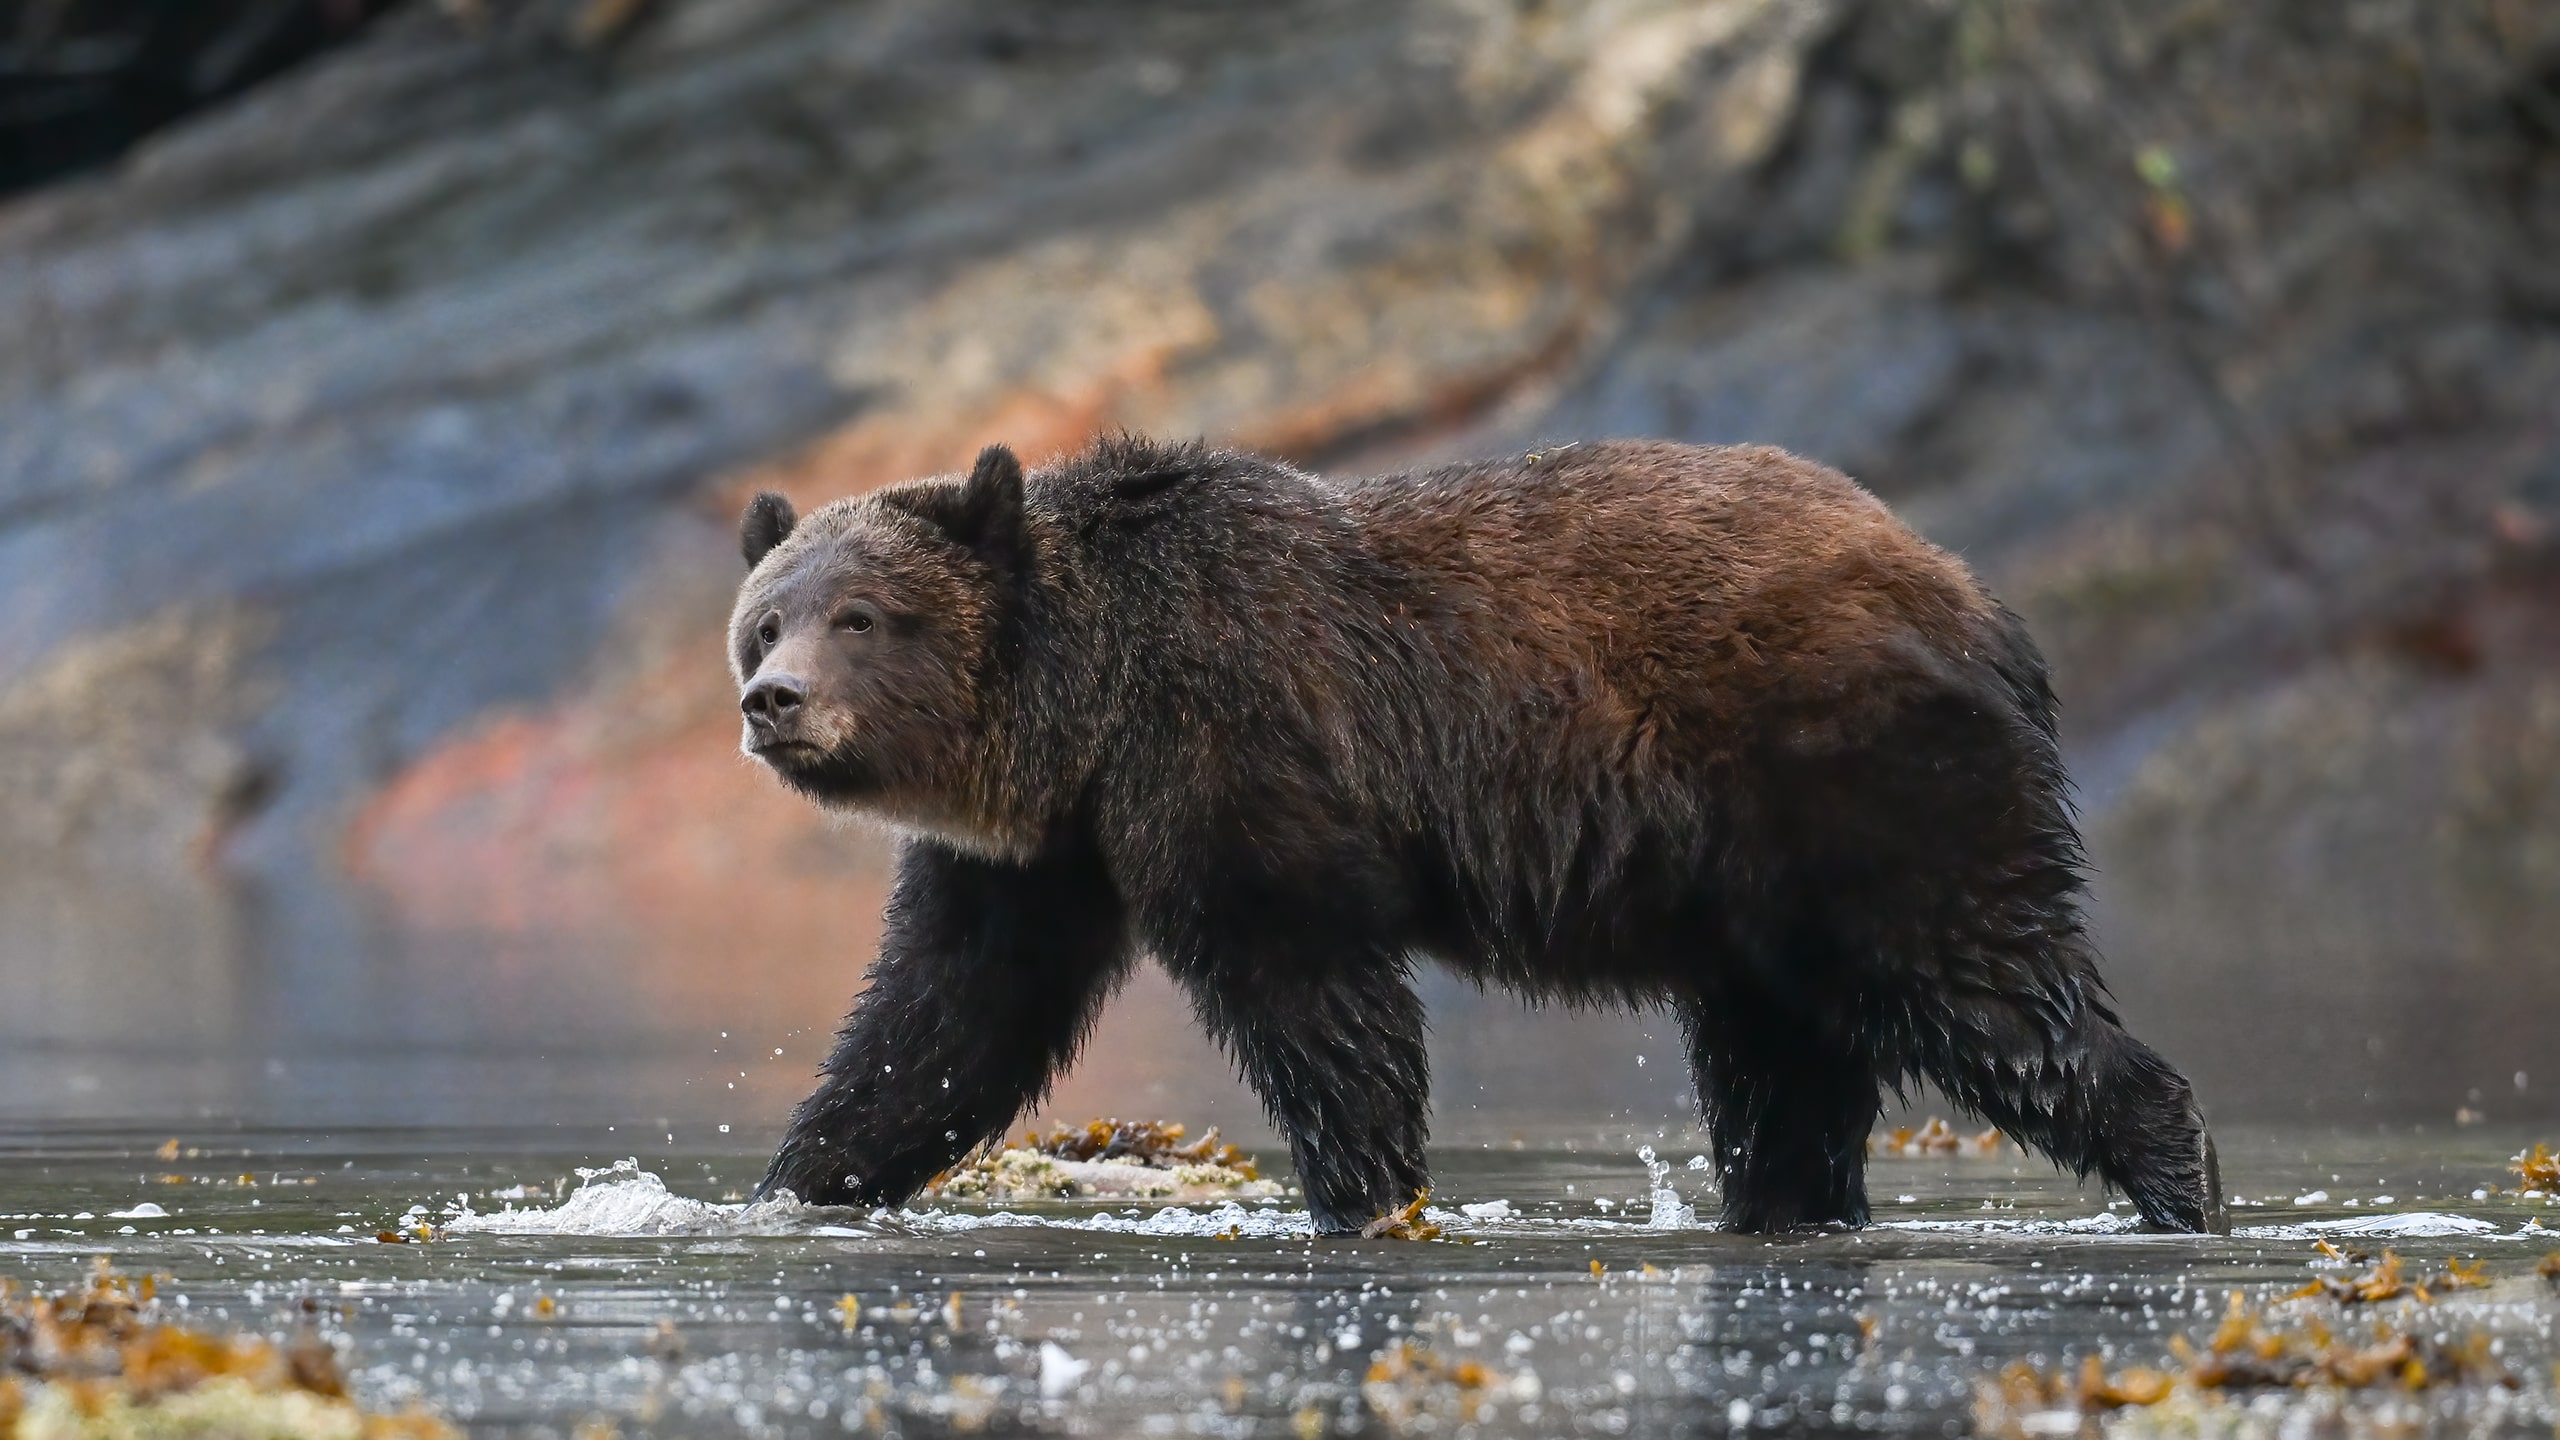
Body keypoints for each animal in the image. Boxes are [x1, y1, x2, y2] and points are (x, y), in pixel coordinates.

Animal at [727, 430, 2222, 1229]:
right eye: (765, 615)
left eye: (861, 615)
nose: (771, 701)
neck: (1083, 713)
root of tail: (1981, 602)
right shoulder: (1043, 856)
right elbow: (944, 1023)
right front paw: (804, 1179)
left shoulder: (1239, 748)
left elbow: (1313, 993)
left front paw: (1365, 1191)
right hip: (1751, 887)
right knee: (1781, 1060)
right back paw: (1792, 1202)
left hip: (1852, 771)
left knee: (1986, 992)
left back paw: (2177, 1178)